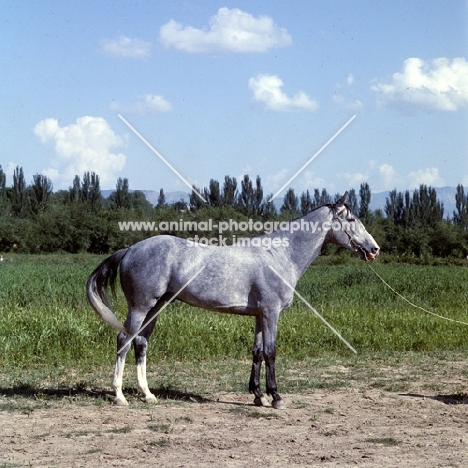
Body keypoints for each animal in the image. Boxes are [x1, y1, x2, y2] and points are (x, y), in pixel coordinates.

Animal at [87, 192, 380, 408]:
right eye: (351, 219)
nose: (374, 249)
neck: (279, 255)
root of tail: (130, 249)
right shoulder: (271, 313)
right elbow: (271, 352)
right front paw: (276, 397)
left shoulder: (260, 316)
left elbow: (257, 352)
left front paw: (258, 396)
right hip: (140, 307)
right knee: (124, 341)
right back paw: (120, 396)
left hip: (156, 308)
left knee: (141, 343)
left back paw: (147, 394)